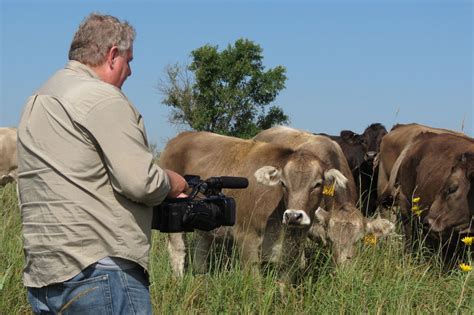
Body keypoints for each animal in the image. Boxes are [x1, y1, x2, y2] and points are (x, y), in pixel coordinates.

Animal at [161, 131, 350, 282]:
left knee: (201, 251)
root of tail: (181, 137)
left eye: (317, 184)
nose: (293, 216)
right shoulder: (247, 238)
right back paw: (179, 281)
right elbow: (255, 283)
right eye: (283, 183)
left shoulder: (294, 249)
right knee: (178, 250)